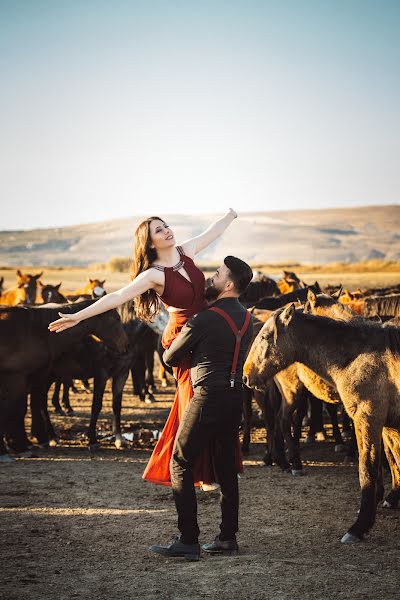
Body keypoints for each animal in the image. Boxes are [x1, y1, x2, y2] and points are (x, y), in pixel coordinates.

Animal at [242, 304, 400, 544]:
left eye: (265, 337)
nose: (245, 375)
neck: (358, 357)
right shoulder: (380, 423)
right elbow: (386, 463)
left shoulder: (372, 420)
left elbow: (375, 466)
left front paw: (361, 524)